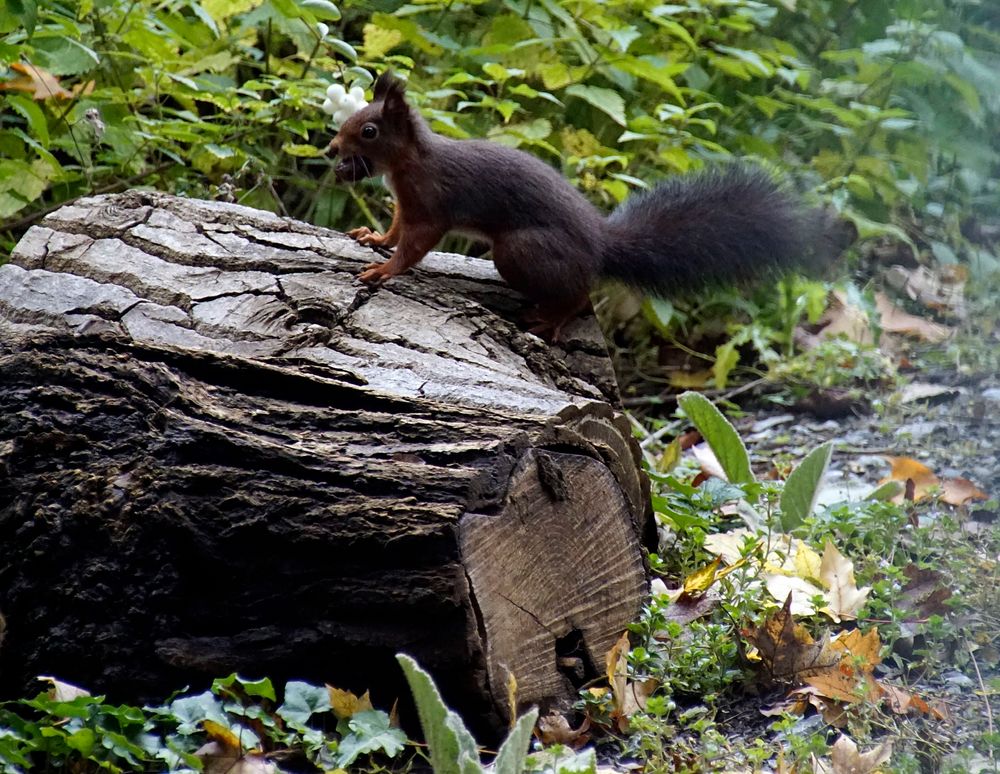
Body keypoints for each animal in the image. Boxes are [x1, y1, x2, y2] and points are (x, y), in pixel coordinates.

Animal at [328, 72, 851, 341]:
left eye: (368, 130)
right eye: (351, 120)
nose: (331, 150)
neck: (409, 162)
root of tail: (600, 244)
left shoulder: (432, 203)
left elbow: (415, 245)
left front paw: (383, 271)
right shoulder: (406, 204)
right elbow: (396, 230)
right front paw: (372, 237)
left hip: (521, 252)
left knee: (579, 294)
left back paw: (551, 317)